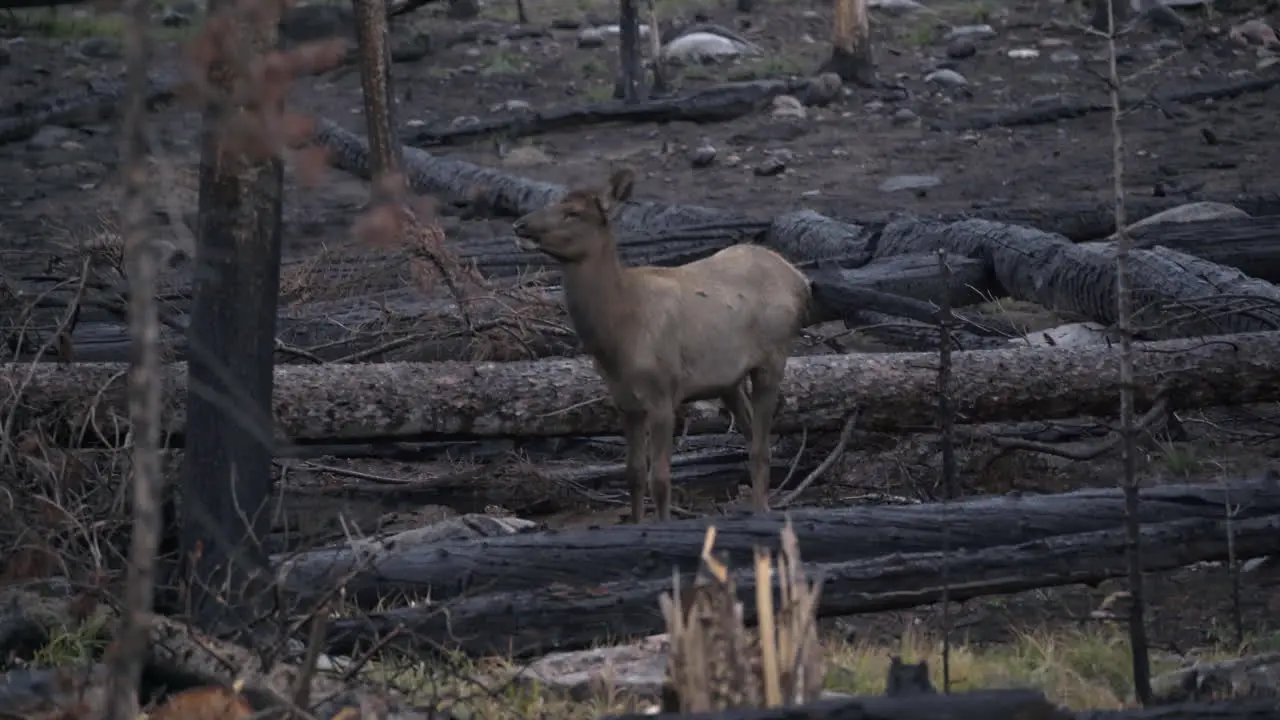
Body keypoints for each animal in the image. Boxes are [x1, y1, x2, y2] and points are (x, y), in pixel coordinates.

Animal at [509, 167, 808, 520]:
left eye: (573, 213)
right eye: (555, 202)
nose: (520, 225)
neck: (618, 336)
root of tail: (801, 279)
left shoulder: (664, 393)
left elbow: (661, 478)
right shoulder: (625, 401)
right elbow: (634, 473)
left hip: (773, 357)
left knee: (761, 446)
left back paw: (762, 511)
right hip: (728, 381)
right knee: (751, 435)